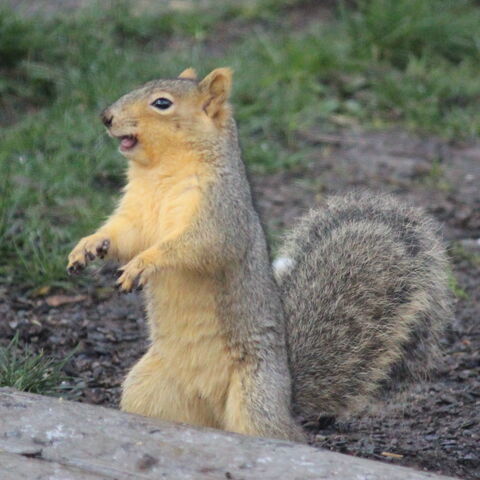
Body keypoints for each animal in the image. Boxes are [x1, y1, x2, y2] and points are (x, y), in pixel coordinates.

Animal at [67, 67, 451, 442]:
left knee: (277, 434)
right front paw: (88, 246)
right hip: (147, 388)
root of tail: (287, 400)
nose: (106, 117)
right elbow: (122, 235)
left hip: (254, 398)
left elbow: (198, 246)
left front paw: (144, 263)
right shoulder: (136, 212)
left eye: (162, 103)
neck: (162, 172)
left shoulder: (221, 212)